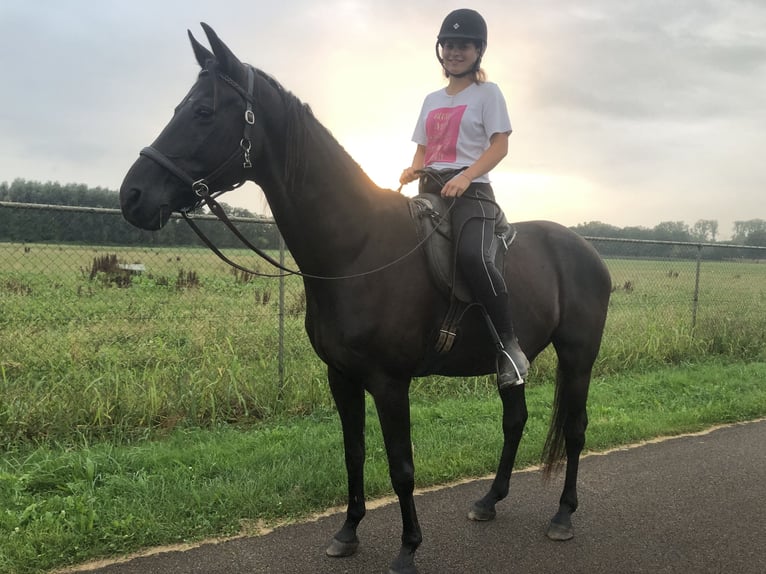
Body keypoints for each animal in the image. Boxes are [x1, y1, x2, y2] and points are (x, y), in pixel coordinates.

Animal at [120, 22, 612, 574]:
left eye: (203, 112)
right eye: (179, 108)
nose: (132, 196)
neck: (356, 248)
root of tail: (586, 251)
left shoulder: (390, 383)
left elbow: (401, 466)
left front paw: (408, 549)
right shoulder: (342, 377)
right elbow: (353, 453)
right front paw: (348, 531)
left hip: (578, 356)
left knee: (576, 428)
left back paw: (563, 516)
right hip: (510, 363)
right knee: (515, 420)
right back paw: (489, 500)